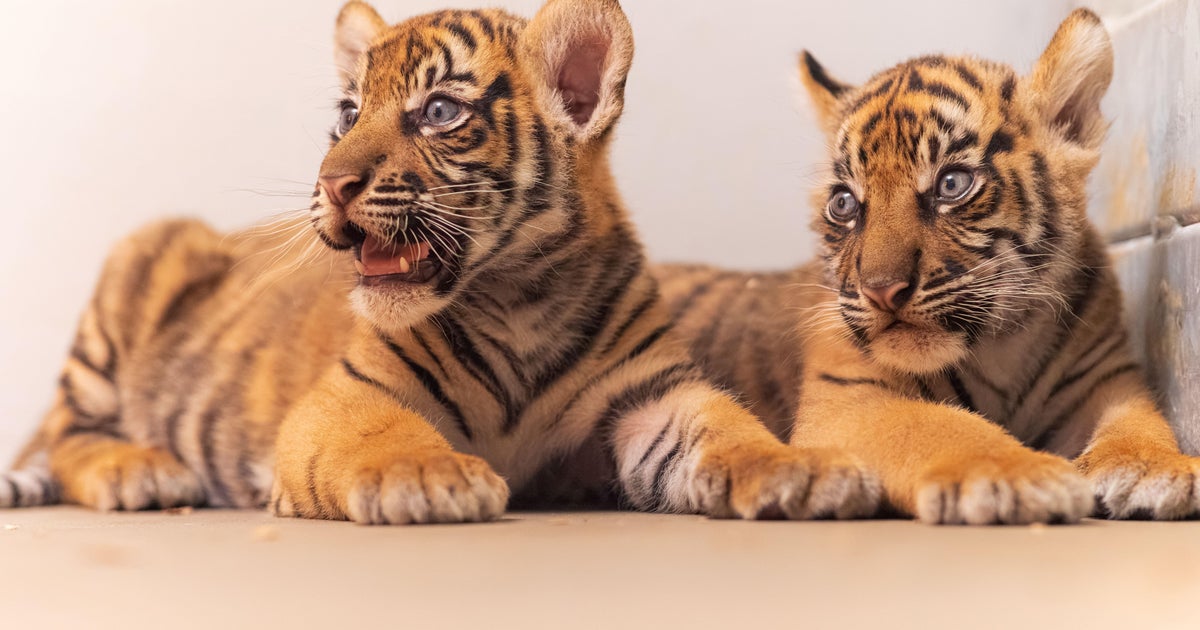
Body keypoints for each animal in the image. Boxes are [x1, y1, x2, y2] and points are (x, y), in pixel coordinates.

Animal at [0, 0, 883, 524]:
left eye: (438, 113)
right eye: (347, 115)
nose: (332, 184)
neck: (522, 297)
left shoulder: (652, 397)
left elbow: (732, 432)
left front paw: (804, 470)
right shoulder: (343, 397)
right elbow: (386, 434)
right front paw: (431, 479)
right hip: (144, 256)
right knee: (65, 434)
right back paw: (140, 472)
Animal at [657, 8, 1200, 524]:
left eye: (951, 184)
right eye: (844, 203)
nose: (881, 290)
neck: (1002, 345)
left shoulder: (1107, 379)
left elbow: (1140, 421)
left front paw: (1159, 468)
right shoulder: (849, 399)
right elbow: (945, 426)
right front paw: (1018, 475)